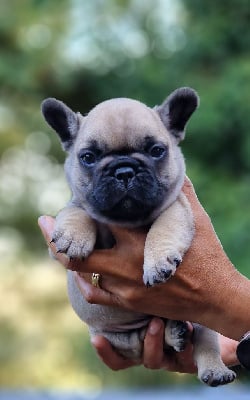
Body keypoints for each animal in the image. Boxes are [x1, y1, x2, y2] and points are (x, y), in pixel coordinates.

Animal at [41, 88, 236, 388]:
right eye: (88, 157)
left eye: (156, 151)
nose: (124, 170)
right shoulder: (75, 206)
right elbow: (75, 212)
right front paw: (73, 236)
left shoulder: (178, 206)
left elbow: (163, 228)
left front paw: (157, 263)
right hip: (110, 334)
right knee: (140, 340)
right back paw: (173, 333)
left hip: (204, 316)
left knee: (204, 341)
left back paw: (212, 367)